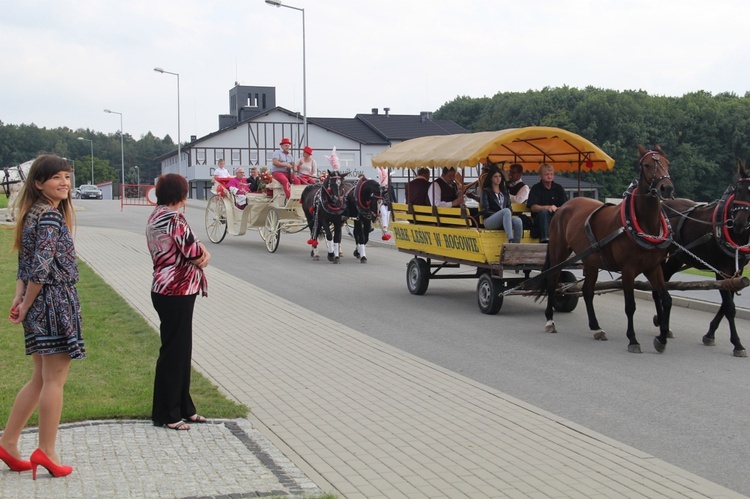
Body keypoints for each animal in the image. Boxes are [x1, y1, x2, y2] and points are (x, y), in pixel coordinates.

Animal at [536, 145, 680, 354]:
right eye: (646, 165)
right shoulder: (628, 270)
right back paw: (550, 321)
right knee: (552, 282)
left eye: (667, 163)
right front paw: (633, 340)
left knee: (587, 292)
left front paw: (661, 338)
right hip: (558, 253)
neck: (642, 224)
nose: (666, 187)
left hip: (590, 261)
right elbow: (630, 306)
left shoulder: (653, 268)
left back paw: (596, 328)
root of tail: (563, 206)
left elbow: (666, 299)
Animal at [652, 158, 750, 358]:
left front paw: (710, 333)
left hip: (677, 258)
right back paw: (662, 324)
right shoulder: (721, 270)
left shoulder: (735, 271)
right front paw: (737, 344)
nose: (739, 224)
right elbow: (729, 307)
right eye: (738, 189)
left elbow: (727, 304)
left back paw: (664, 323)